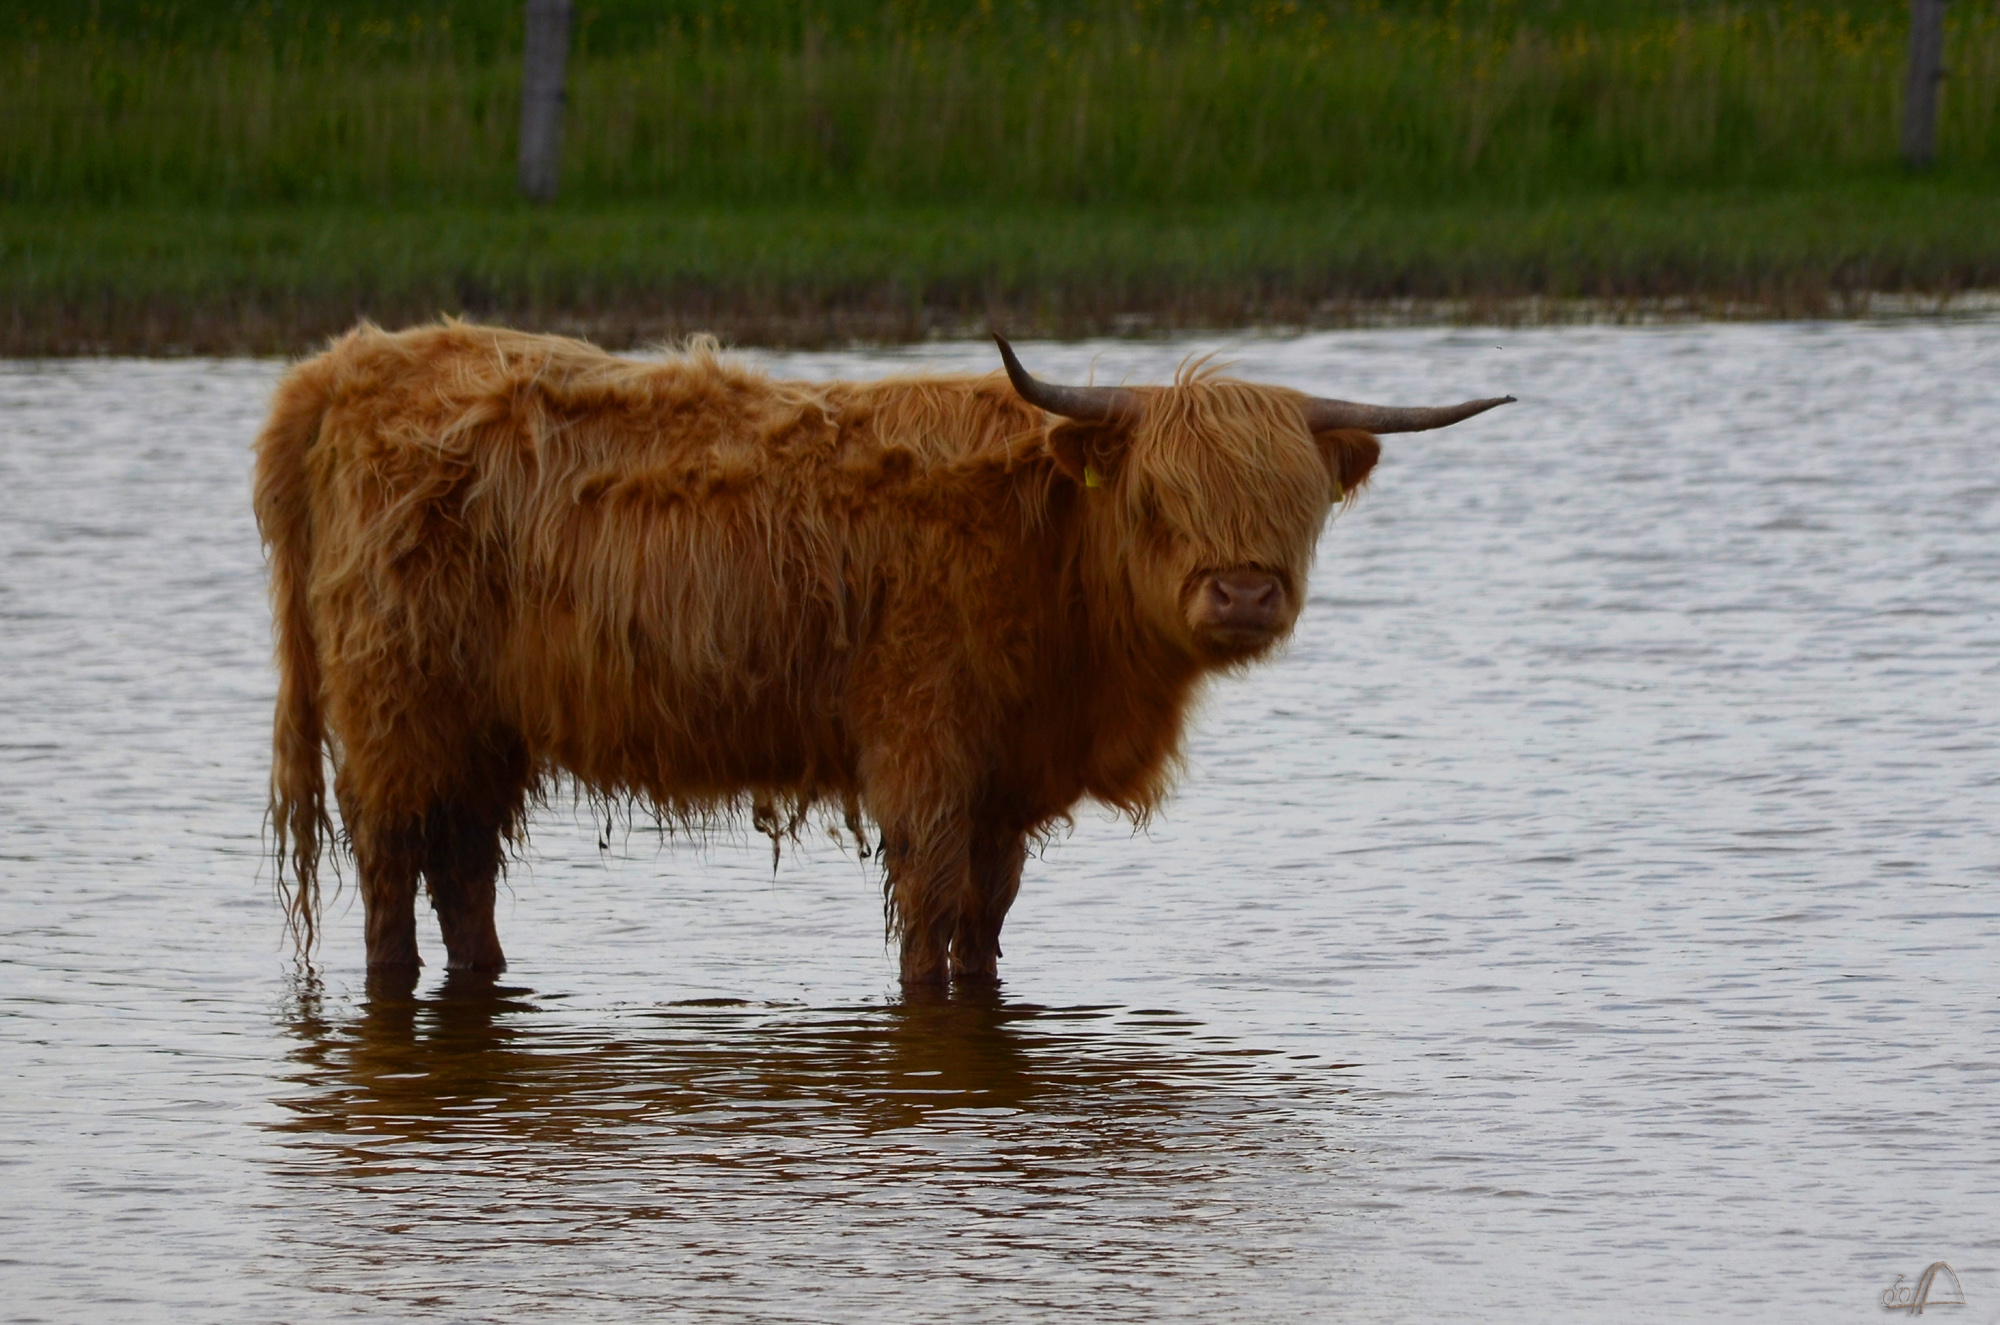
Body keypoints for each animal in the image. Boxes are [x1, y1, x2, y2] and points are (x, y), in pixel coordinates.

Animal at [258, 322, 1504, 984]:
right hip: (395, 709)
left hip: (480, 729)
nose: (1242, 591)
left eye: (1295, 500)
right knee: (391, 867)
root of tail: (346, 368)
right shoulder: (923, 745)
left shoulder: (1006, 780)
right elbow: (931, 911)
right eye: (1159, 497)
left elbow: (987, 919)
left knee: (461, 867)